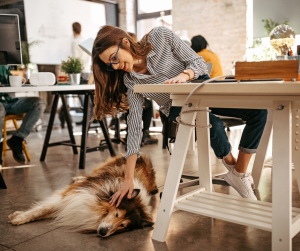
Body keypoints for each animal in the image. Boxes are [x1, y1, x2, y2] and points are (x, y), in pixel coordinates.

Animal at [7, 154, 158, 236]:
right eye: (116, 214)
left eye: (123, 226)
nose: (103, 232)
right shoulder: (71, 195)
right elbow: (40, 210)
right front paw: (18, 217)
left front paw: (18, 216)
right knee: (89, 175)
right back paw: (78, 178)